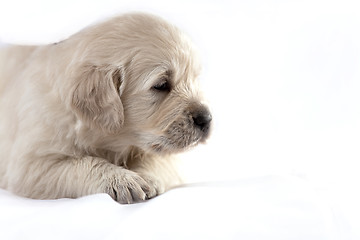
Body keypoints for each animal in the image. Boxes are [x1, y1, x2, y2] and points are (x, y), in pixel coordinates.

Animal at [0, 13, 211, 203]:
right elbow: (82, 164)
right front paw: (122, 180)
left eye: (195, 79)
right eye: (161, 85)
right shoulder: (31, 165)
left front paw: (147, 177)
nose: (206, 119)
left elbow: (157, 159)